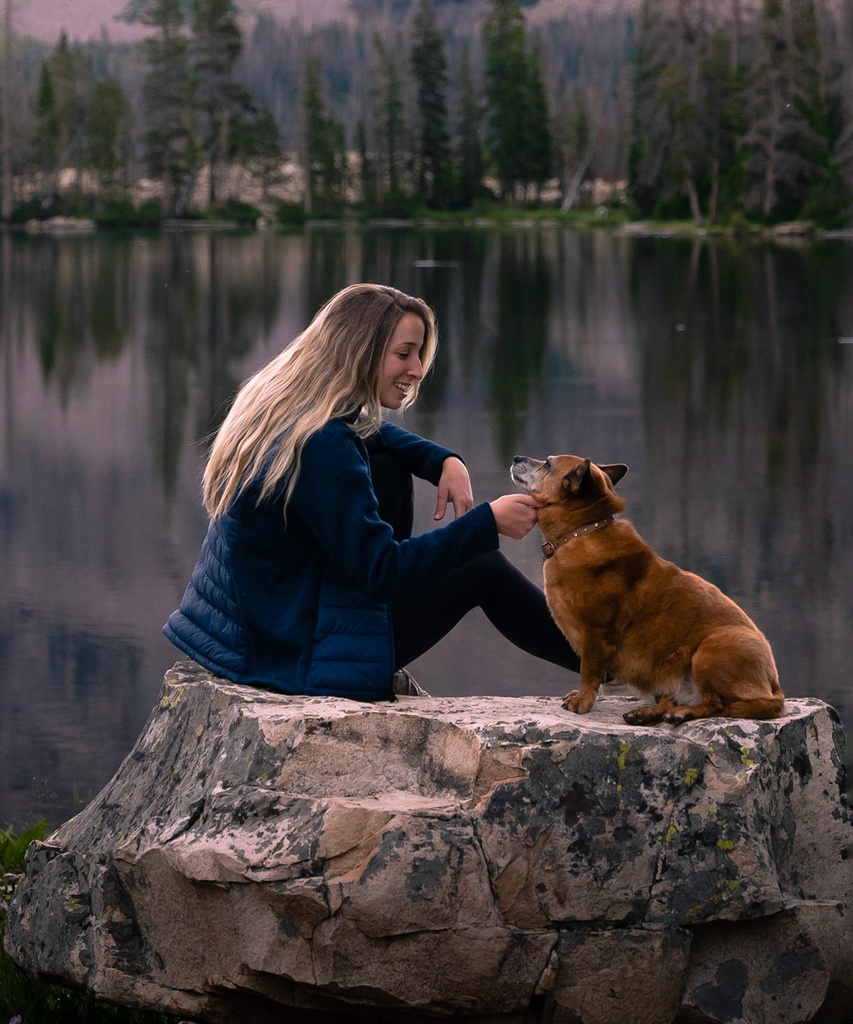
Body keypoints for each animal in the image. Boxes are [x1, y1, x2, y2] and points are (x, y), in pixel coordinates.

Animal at [509, 452, 782, 724]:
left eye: (548, 464)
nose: (516, 457)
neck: (581, 531)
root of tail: (775, 689)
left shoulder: (596, 634)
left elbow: (588, 671)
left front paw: (583, 701)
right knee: (670, 700)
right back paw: (645, 713)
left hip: (710, 651)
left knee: (717, 704)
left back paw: (682, 713)